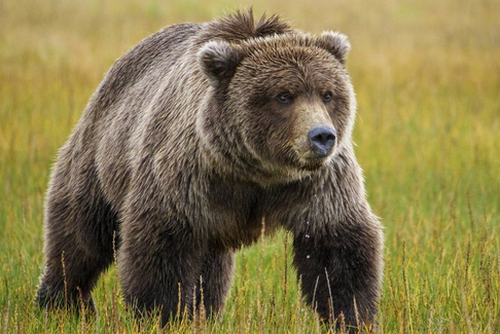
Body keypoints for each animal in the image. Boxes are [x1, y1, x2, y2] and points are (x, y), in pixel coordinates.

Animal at [37, 10, 384, 332]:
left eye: (328, 93)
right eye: (283, 95)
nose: (322, 136)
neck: (257, 171)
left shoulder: (318, 183)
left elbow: (337, 246)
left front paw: (353, 318)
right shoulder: (189, 174)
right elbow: (162, 246)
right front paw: (163, 315)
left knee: (211, 270)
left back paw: (205, 313)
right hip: (100, 153)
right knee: (80, 235)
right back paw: (62, 303)